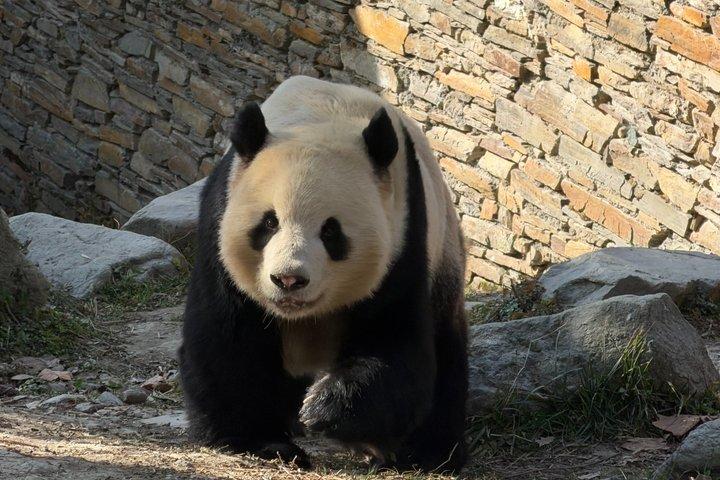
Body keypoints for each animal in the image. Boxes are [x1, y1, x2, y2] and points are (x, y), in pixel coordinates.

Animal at [179, 76, 468, 472]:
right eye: (268, 223)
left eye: (331, 231)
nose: (288, 280)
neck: (321, 115)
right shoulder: (220, 218)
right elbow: (226, 339)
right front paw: (261, 441)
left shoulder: (406, 239)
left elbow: (395, 347)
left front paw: (322, 408)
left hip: (444, 259)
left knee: (446, 358)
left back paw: (428, 453)